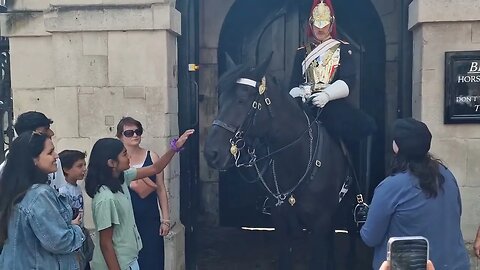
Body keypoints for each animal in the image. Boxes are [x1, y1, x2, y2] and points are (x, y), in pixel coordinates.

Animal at [204, 55, 350, 270]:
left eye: (242, 101)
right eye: (221, 100)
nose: (211, 153)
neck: (296, 160)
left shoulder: (319, 223)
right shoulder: (282, 223)